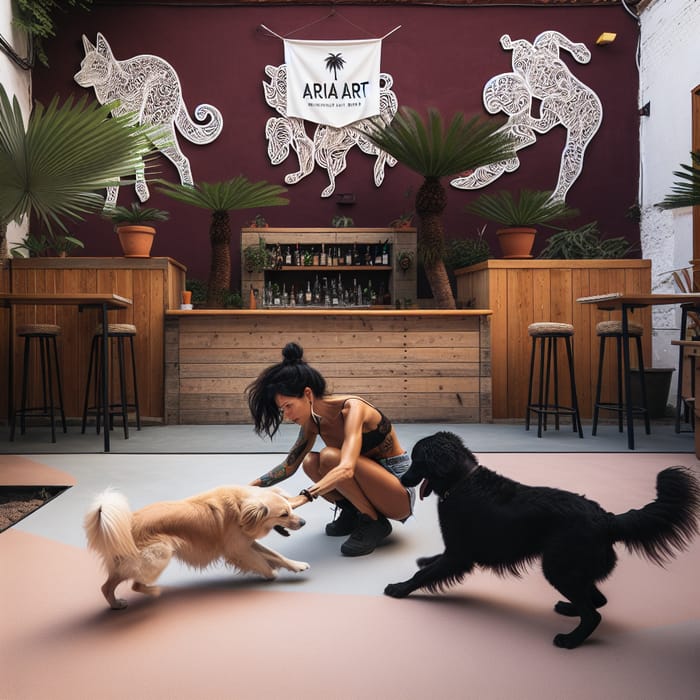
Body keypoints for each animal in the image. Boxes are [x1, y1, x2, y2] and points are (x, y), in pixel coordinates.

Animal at [85, 486, 308, 608]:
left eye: (291, 509)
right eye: (284, 514)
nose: (304, 522)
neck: (241, 509)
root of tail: (124, 527)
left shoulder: (246, 543)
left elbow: (276, 555)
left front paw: (296, 565)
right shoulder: (238, 550)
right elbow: (262, 562)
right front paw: (272, 574)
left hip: (129, 563)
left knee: (107, 586)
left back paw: (116, 605)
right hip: (161, 552)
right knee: (135, 584)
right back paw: (154, 590)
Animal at [386, 432, 696, 652]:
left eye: (418, 460)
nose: (402, 480)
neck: (463, 480)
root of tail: (606, 519)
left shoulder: (459, 554)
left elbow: (424, 574)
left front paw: (399, 588)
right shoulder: (455, 552)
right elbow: (431, 563)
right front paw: (423, 561)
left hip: (558, 567)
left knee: (594, 613)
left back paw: (570, 640)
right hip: (569, 567)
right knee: (597, 600)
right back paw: (569, 609)